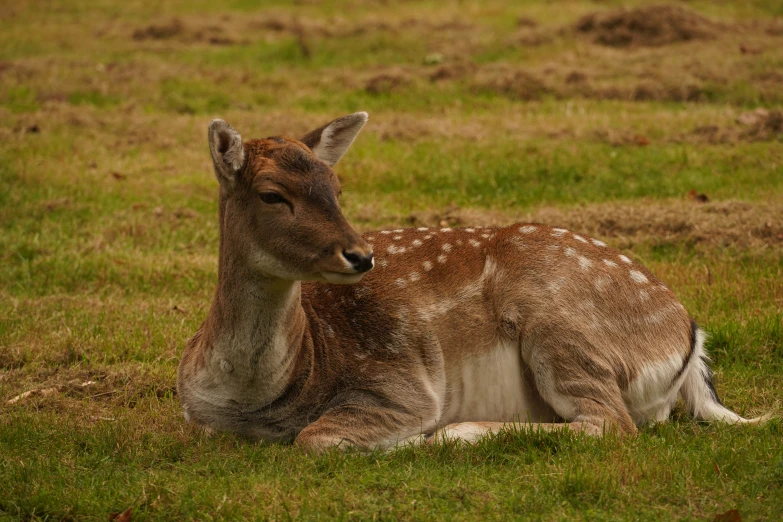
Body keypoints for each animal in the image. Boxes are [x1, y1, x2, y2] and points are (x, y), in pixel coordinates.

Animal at [176, 110, 764, 450]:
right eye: (272, 194)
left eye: (336, 187)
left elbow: (314, 438)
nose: (361, 256)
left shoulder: (401, 386)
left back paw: (458, 432)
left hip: (563, 326)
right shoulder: (194, 417)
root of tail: (691, 335)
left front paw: (413, 442)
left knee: (610, 423)